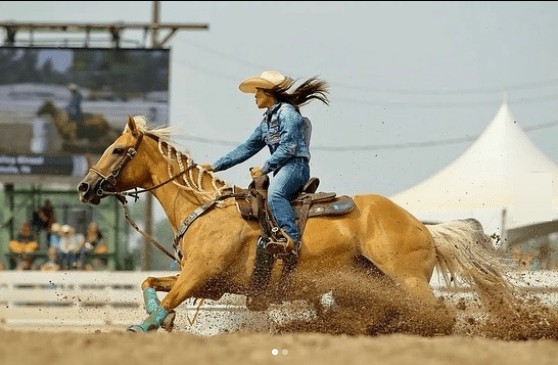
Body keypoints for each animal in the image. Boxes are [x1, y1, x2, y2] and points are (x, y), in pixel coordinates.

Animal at [77, 115, 516, 334]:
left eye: (117, 149)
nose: (84, 187)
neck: (205, 210)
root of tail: (424, 227)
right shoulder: (207, 283)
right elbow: (149, 284)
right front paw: (161, 320)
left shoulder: (199, 274)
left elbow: (165, 298)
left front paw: (145, 326)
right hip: (365, 287)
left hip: (408, 281)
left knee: (441, 316)